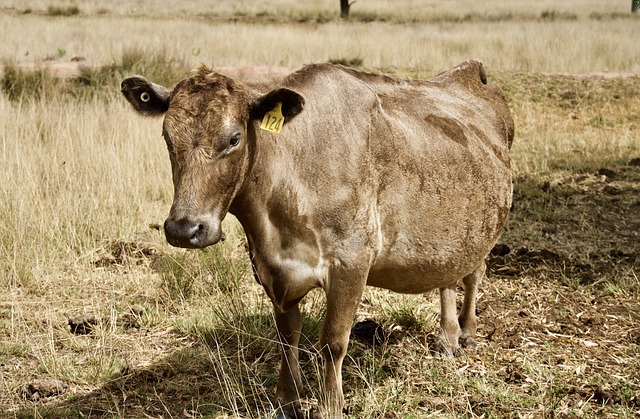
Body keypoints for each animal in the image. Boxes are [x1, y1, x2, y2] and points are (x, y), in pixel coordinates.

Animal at [121, 60, 516, 419]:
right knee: (448, 278)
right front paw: (287, 399)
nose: (184, 229)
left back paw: (466, 333)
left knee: (474, 274)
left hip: (486, 227)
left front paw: (330, 405)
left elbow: (332, 342)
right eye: (167, 138)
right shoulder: (272, 268)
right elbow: (287, 335)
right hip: (452, 233)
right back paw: (447, 338)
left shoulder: (352, 262)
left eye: (233, 139)